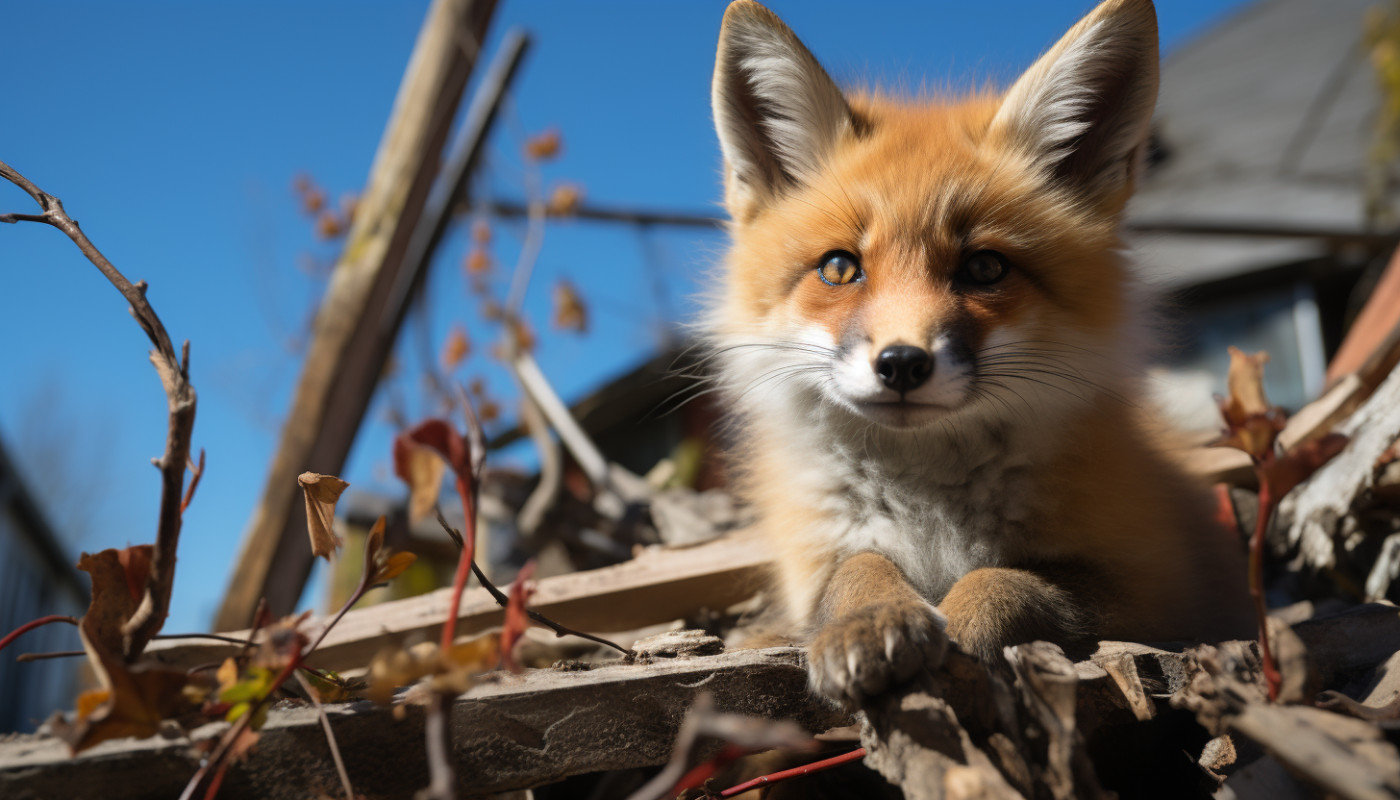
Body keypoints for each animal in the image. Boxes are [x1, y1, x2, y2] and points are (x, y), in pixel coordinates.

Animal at [707, 0, 1253, 706]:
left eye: (985, 267)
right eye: (839, 267)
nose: (902, 364)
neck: (929, 508)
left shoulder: (1154, 589)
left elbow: (1015, 579)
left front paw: (967, 627)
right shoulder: (818, 562)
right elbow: (857, 564)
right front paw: (869, 615)